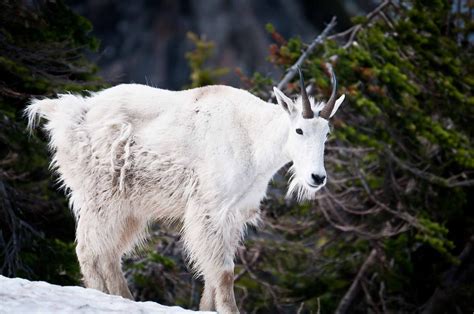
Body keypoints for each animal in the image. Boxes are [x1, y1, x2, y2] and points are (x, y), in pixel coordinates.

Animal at [25, 65, 344, 312]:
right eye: (299, 130)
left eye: (327, 133)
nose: (317, 177)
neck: (254, 139)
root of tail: (71, 115)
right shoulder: (209, 207)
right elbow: (223, 273)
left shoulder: (233, 213)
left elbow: (214, 273)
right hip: (101, 196)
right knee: (89, 251)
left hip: (130, 208)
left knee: (109, 254)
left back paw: (126, 299)